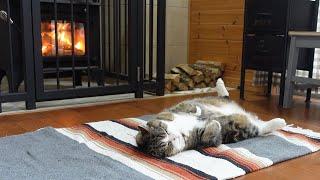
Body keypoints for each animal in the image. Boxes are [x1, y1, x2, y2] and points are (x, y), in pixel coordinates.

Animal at [136, 78, 288, 157]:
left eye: (165, 131)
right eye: (167, 144)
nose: (173, 137)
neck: (181, 130)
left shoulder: (173, 110)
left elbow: (188, 107)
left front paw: (196, 110)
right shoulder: (204, 141)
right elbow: (208, 135)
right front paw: (215, 123)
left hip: (221, 101)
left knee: (225, 96)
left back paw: (219, 83)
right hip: (243, 129)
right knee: (261, 127)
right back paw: (280, 121)